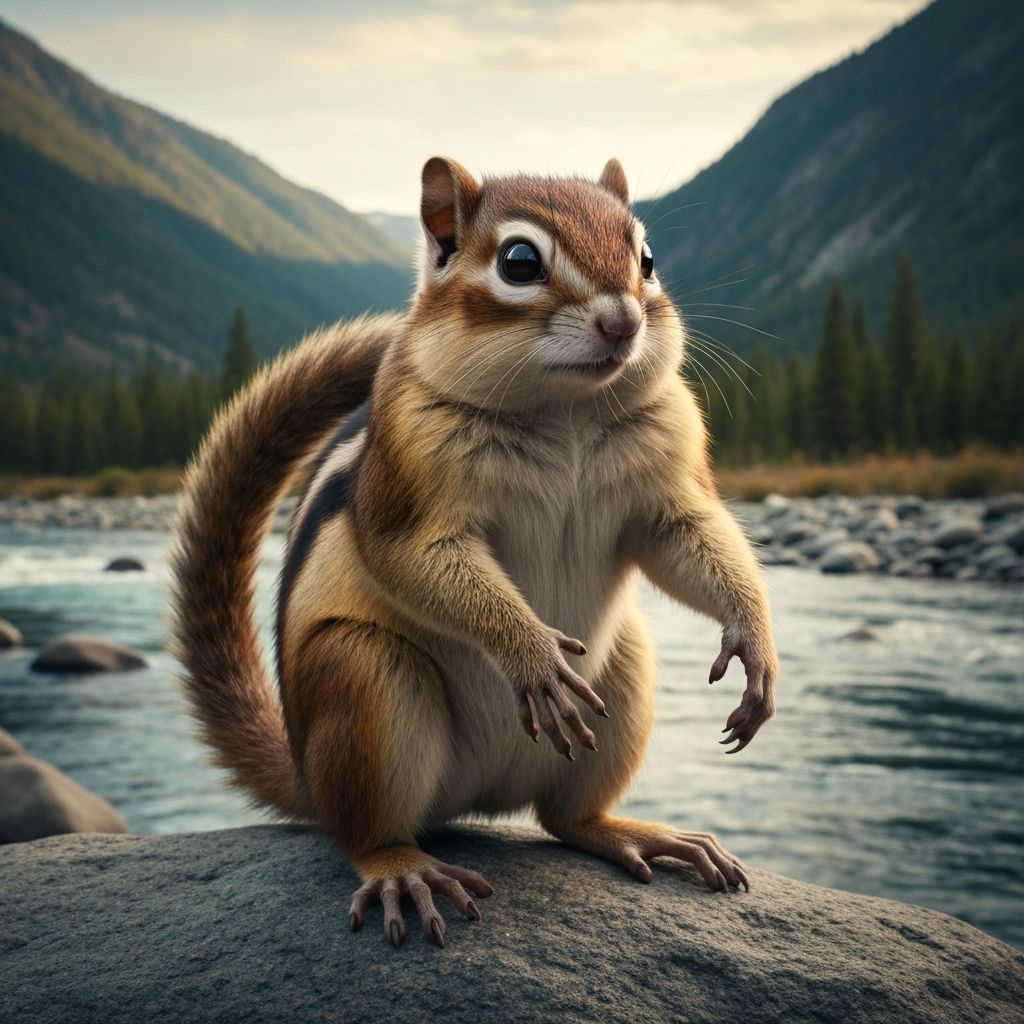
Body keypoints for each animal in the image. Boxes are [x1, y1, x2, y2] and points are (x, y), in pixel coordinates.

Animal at [169, 156, 779, 949]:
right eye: (519, 262)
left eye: (646, 258)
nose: (624, 321)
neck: (564, 411)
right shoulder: (414, 488)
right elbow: (419, 557)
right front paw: (532, 655)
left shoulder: (668, 483)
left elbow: (691, 538)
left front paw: (756, 646)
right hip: (362, 675)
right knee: (364, 832)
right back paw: (403, 869)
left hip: (625, 674)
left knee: (565, 818)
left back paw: (637, 834)